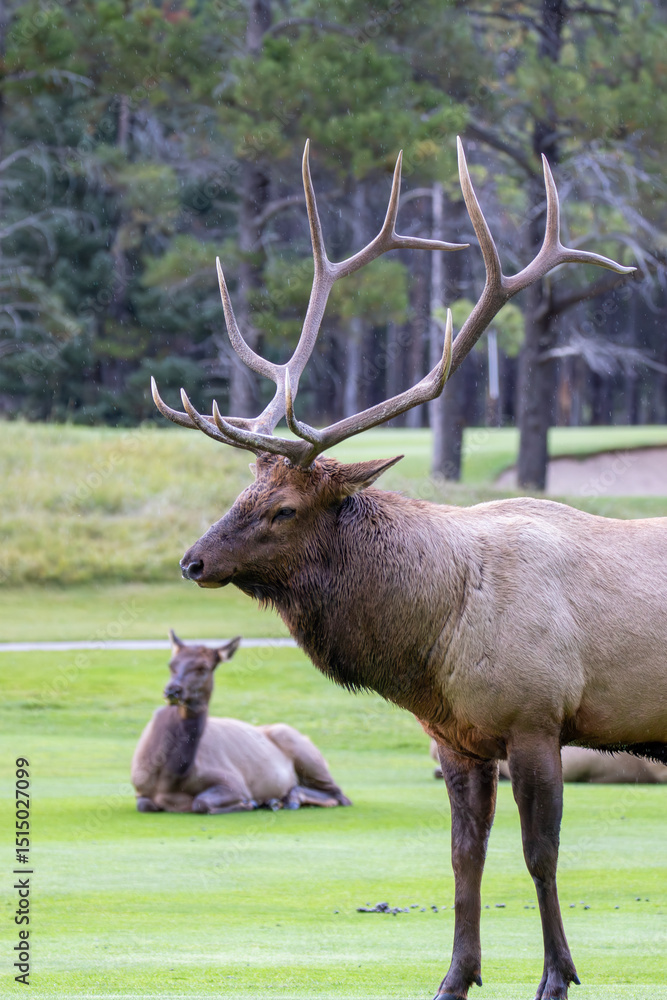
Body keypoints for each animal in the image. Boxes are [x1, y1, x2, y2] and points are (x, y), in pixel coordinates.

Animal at [131, 630, 351, 813]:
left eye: (203, 667)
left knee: (340, 795)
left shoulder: (234, 782)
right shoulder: (140, 789)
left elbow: (201, 802)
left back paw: (286, 799)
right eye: (171, 664)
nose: (172, 691)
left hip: (305, 751)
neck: (169, 776)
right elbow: (145, 805)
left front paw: (248, 803)